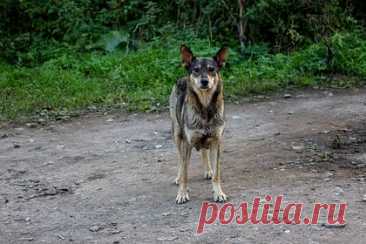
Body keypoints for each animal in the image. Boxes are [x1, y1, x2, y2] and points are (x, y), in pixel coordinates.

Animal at [169, 44, 229, 204]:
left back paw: (208, 170)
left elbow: (217, 174)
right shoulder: (187, 143)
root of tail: (182, 78)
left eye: (211, 69)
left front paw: (218, 193)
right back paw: (178, 177)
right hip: (177, 135)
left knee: (204, 151)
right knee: (180, 159)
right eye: (196, 70)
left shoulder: (216, 141)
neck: (205, 107)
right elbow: (185, 172)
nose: (204, 81)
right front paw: (182, 193)